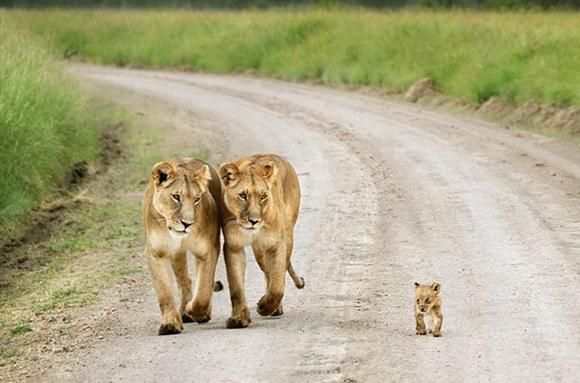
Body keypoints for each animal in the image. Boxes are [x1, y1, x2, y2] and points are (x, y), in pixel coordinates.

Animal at [142, 158, 222, 334]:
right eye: (176, 197)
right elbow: (164, 293)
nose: (187, 224)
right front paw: (170, 324)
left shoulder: (208, 249)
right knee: (184, 281)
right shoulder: (155, 253)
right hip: (176, 255)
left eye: (197, 199)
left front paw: (196, 312)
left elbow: (203, 290)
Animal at [219, 154, 304, 328]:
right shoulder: (233, 246)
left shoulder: (276, 243)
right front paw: (239, 318)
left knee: (279, 272)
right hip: (259, 250)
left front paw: (264, 307)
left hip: (287, 236)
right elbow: (236, 286)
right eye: (243, 196)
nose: (254, 221)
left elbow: (277, 285)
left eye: (263, 196)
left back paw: (275, 308)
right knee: (267, 272)